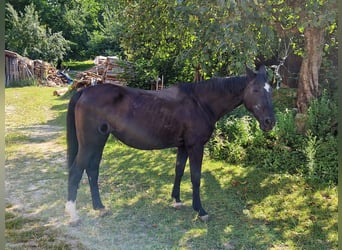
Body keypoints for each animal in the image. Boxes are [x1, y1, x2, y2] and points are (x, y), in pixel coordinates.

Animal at [65, 65, 276, 225]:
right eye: (256, 90)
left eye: (271, 90)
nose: (270, 122)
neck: (200, 103)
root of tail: (84, 91)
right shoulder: (195, 146)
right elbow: (195, 177)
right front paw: (200, 210)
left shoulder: (183, 146)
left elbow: (179, 170)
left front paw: (176, 200)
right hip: (90, 143)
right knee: (76, 171)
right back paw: (73, 215)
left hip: (99, 141)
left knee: (92, 170)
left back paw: (99, 207)